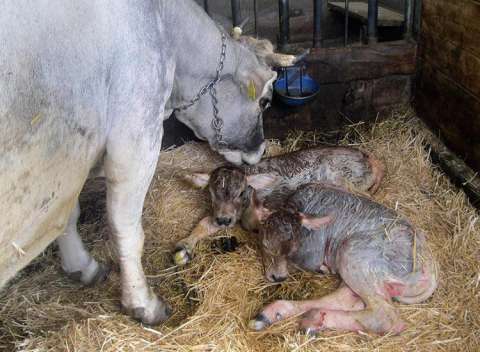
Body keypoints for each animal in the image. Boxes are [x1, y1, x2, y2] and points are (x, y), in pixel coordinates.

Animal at [174, 146, 384, 264]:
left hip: (346, 180)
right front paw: (185, 245)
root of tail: (369, 156)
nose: (224, 220)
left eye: (240, 192)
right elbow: (204, 222)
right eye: (211, 193)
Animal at [251, 184, 438, 336]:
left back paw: (313, 320)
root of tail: (429, 265)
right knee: (344, 298)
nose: (278, 277)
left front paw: (322, 268)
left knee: (385, 316)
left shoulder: (314, 252)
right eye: (265, 244)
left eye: (294, 247)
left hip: (354, 254)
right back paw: (273, 314)